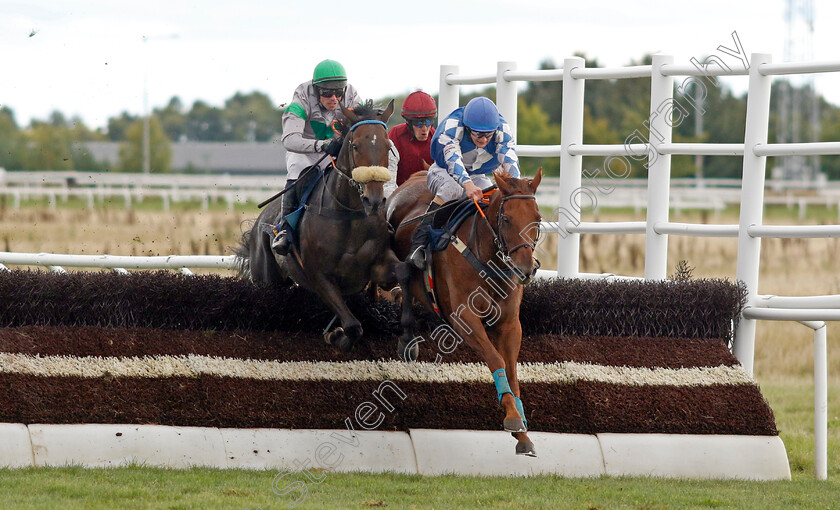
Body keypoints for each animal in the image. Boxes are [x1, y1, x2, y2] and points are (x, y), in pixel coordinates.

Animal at [231, 101, 398, 352]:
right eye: (355, 146)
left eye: (387, 147)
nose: (374, 200)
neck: (349, 215)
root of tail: (260, 221)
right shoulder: (319, 276)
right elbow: (353, 326)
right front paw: (336, 335)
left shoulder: (378, 263)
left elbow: (397, 274)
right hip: (267, 280)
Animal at [388, 168, 544, 458]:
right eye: (507, 219)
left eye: (537, 219)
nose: (525, 270)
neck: (488, 260)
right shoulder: (464, 319)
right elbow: (495, 359)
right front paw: (512, 418)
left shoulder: (510, 324)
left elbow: (512, 370)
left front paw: (523, 433)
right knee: (403, 278)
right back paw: (406, 339)